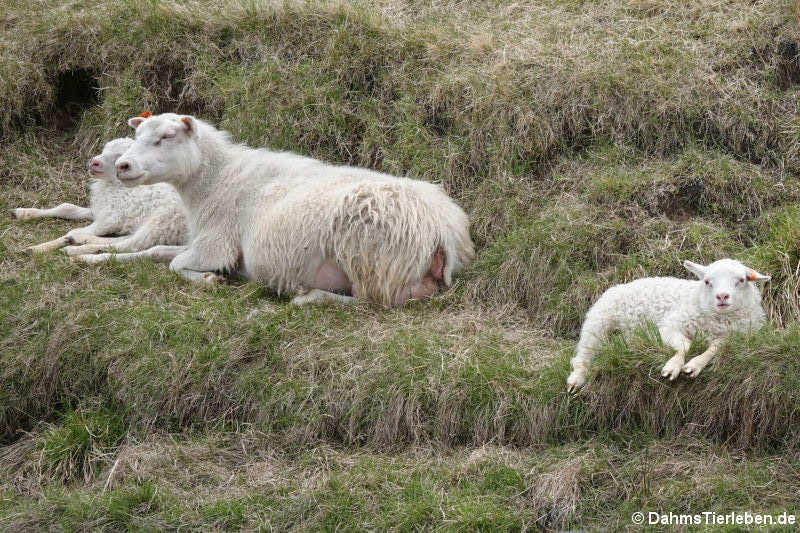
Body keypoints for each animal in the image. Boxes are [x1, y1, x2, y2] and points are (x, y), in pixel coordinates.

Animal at [12, 137, 188, 258]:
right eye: (104, 149)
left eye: (120, 157)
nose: (94, 162)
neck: (115, 185)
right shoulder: (102, 208)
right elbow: (67, 207)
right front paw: (23, 213)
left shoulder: (111, 217)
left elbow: (73, 229)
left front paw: (37, 248)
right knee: (125, 240)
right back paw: (82, 241)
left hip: (162, 221)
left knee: (131, 245)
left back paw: (75, 247)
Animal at [112, 110, 476, 306]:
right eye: (137, 135)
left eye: (167, 136)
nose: (122, 166)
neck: (217, 180)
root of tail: (442, 230)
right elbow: (160, 251)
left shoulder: (217, 245)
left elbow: (175, 264)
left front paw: (208, 280)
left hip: (372, 262)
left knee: (369, 300)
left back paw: (309, 297)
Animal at [564, 260, 772, 392]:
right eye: (707, 281)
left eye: (741, 280)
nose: (722, 297)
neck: (719, 320)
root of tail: (616, 286)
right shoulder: (670, 325)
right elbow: (685, 345)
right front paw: (673, 366)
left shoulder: (735, 337)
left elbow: (715, 348)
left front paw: (694, 366)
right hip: (598, 323)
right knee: (583, 356)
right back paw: (576, 380)